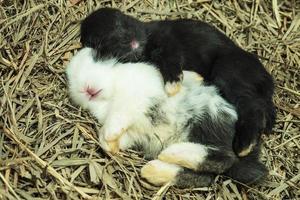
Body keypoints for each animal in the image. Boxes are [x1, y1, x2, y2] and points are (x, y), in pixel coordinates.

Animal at [79, 7, 276, 158]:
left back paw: (244, 146)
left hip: (227, 71)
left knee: (252, 105)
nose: (132, 43)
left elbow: (170, 57)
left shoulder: (167, 42)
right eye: (100, 43)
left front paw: (172, 85)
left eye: (122, 23)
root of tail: (266, 79)